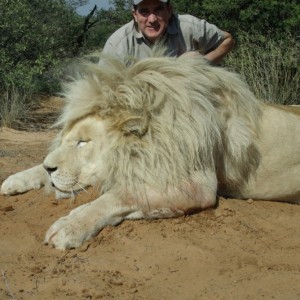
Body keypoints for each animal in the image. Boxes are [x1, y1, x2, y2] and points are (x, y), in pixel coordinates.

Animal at [1, 52, 298, 250]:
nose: (50, 167)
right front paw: (16, 180)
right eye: (66, 139)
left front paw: (69, 227)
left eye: (83, 142)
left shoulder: (193, 184)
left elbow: (120, 195)